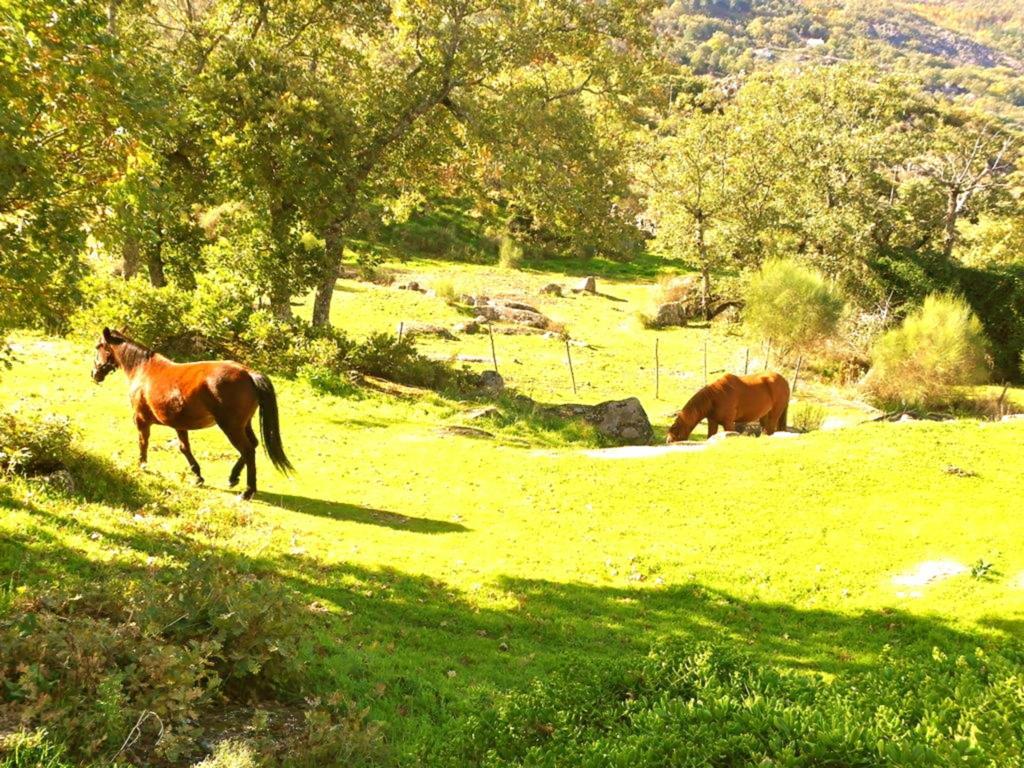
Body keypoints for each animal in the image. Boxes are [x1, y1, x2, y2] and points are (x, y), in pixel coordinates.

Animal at [92, 329, 292, 499]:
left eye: (98, 347)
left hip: (231, 427)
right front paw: (198, 477)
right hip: (244, 425)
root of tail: (248, 373)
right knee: (253, 445)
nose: (94, 374)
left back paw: (248, 491)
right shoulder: (179, 425)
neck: (143, 370)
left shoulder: (141, 420)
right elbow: (184, 448)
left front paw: (142, 465)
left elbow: (143, 442)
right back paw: (233, 478)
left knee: (248, 450)